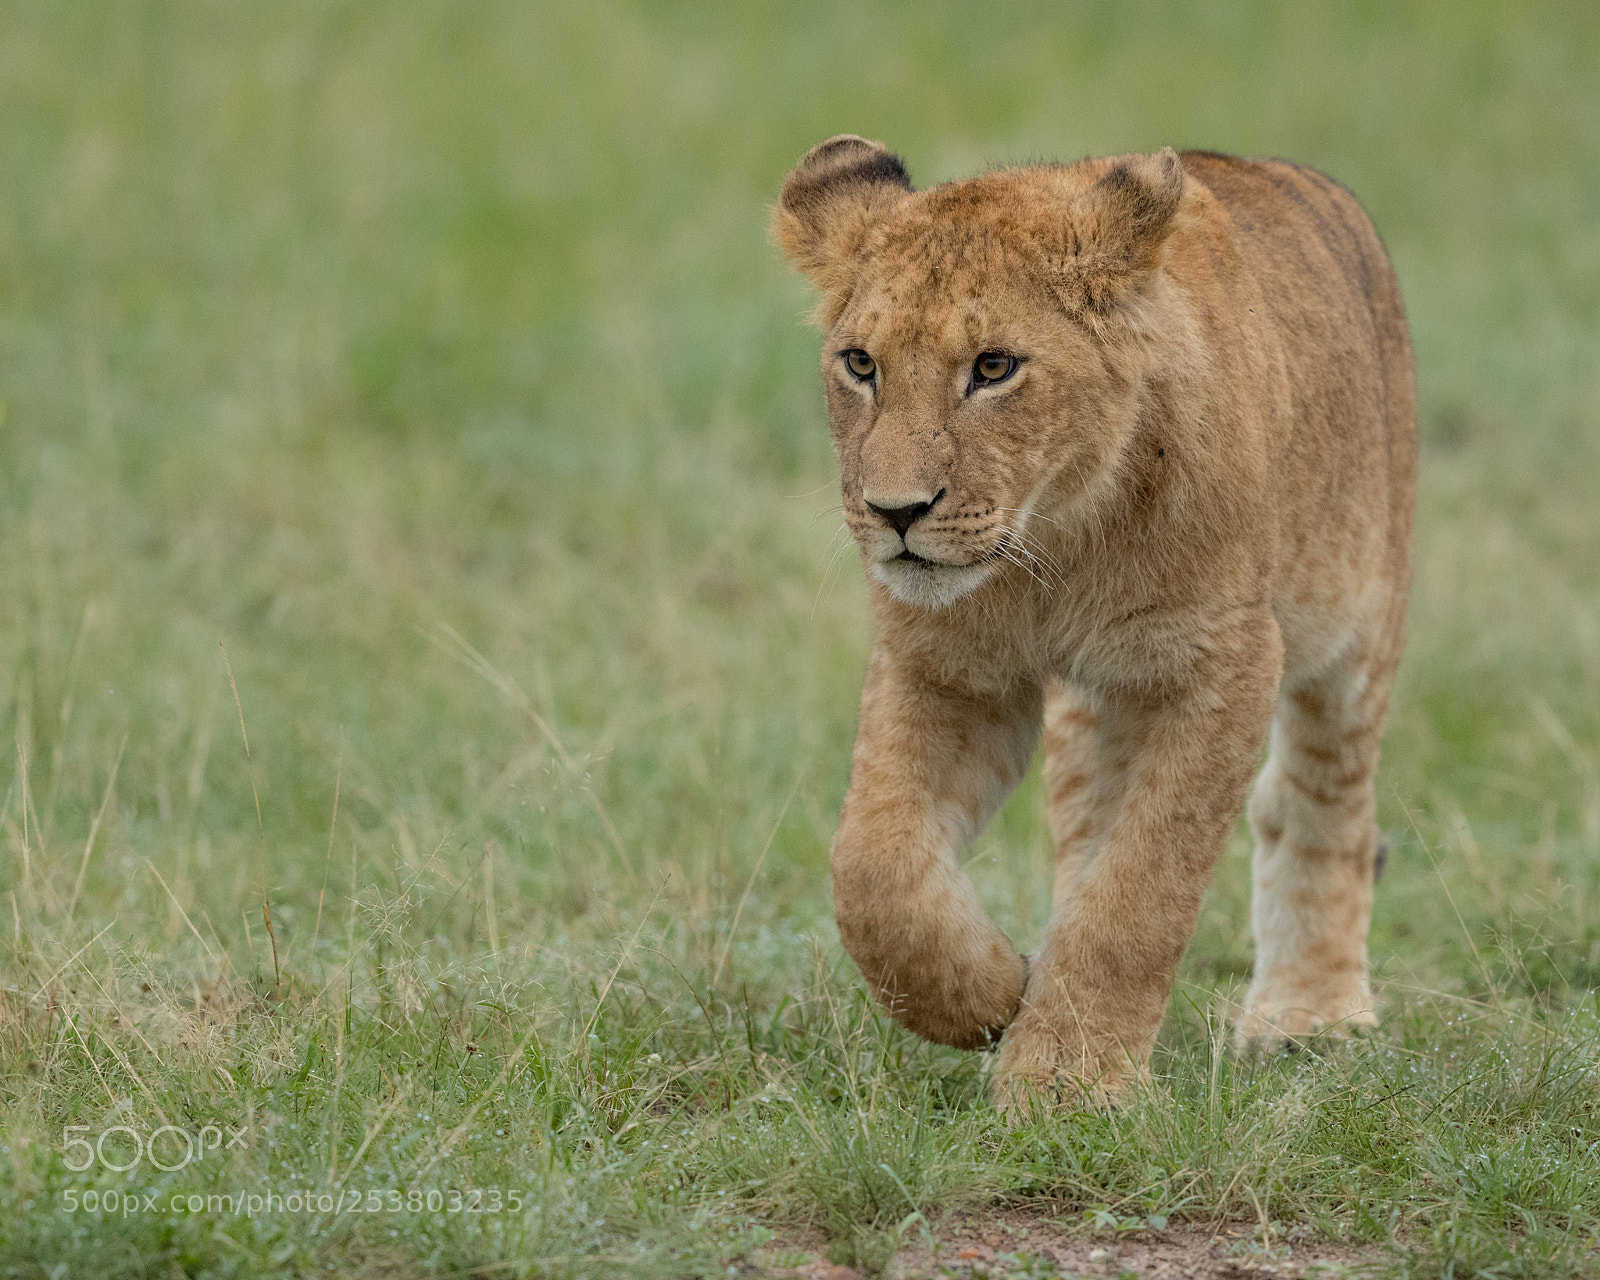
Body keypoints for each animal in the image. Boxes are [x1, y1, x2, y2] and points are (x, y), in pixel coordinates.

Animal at [774, 136, 1416, 1108]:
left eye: (993, 368)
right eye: (860, 363)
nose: (895, 512)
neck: (1055, 543)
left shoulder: (1223, 662)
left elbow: (1143, 887)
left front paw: (1068, 1081)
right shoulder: (947, 666)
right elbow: (875, 864)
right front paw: (990, 996)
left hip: (1357, 621)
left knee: (1319, 805)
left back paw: (1309, 1017)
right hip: (1102, 700)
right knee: (1087, 827)